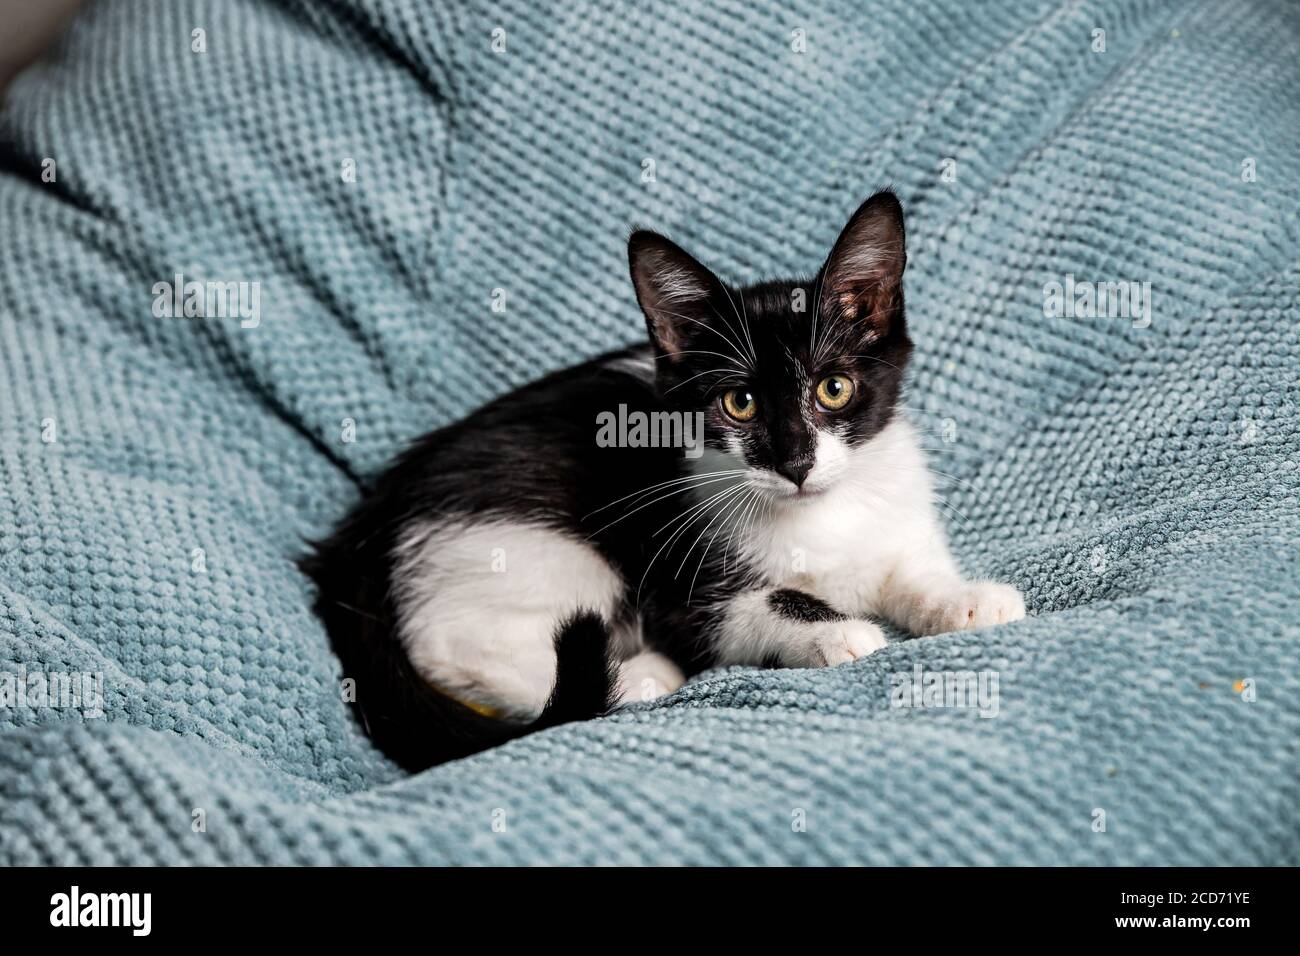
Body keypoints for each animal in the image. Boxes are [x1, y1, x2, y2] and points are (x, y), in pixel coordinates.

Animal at [304, 188, 1024, 770]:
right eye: (740, 404)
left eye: (835, 388)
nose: (794, 463)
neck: (819, 518)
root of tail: (363, 531)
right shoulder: (682, 583)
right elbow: (758, 607)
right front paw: (832, 630)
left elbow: (911, 568)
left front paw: (963, 598)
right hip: (524, 547)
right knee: (457, 647)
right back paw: (642, 673)